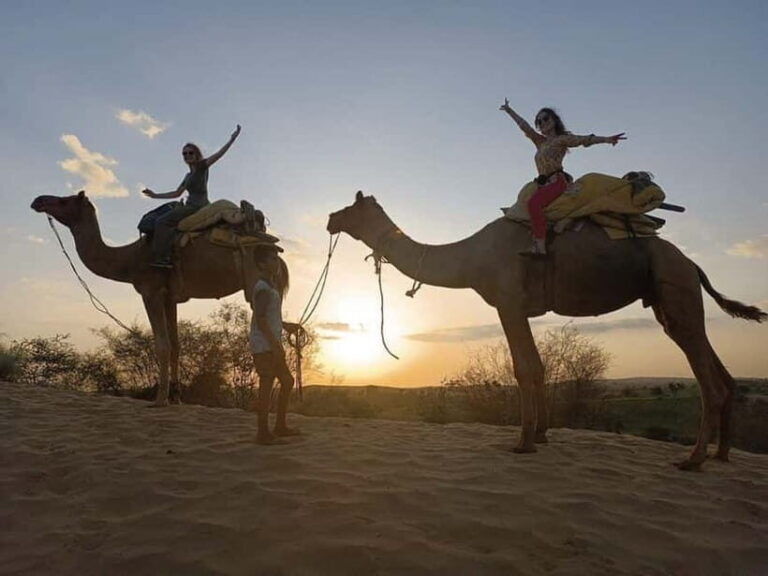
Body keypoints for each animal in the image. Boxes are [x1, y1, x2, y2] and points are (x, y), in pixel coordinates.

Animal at [31, 191, 289, 415]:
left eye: (64, 201)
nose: (38, 200)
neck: (129, 259)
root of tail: (276, 253)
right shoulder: (169, 298)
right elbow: (176, 345)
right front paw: (176, 397)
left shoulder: (151, 291)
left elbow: (162, 345)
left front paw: (159, 400)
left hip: (257, 282)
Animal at [327, 191, 766, 470]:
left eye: (350, 207)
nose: (330, 219)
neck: (470, 257)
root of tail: (692, 264)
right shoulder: (520, 309)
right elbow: (538, 368)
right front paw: (540, 436)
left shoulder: (508, 304)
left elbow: (524, 369)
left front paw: (522, 443)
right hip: (669, 301)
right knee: (718, 369)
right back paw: (720, 455)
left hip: (676, 290)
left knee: (707, 379)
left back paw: (692, 460)